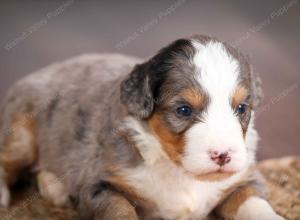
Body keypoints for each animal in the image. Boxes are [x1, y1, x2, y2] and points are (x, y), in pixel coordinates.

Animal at [0, 35, 286, 219]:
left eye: (242, 109)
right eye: (184, 110)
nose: (223, 155)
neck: (178, 171)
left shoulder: (244, 179)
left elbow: (254, 203)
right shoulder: (100, 185)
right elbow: (120, 211)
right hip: (21, 130)